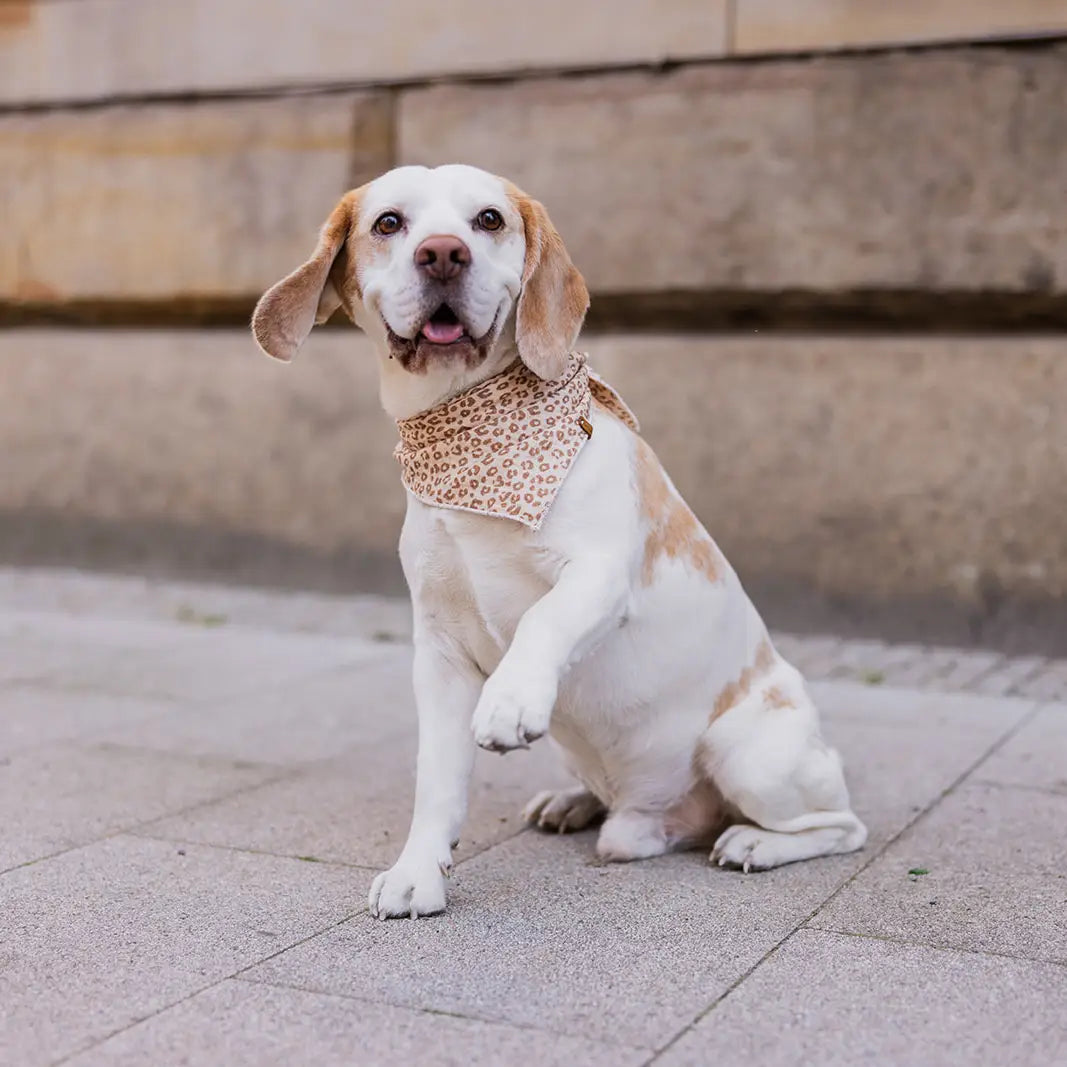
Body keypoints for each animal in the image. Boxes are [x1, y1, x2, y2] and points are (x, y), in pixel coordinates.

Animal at [251, 164, 866, 917]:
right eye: (389, 223)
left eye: (488, 219)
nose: (443, 254)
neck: (469, 442)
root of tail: (669, 823)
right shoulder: (439, 653)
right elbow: (436, 781)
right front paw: (417, 873)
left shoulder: (598, 576)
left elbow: (543, 620)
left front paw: (511, 701)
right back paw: (576, 803)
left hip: (746, 750)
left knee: (838, 826)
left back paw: (755, 842)